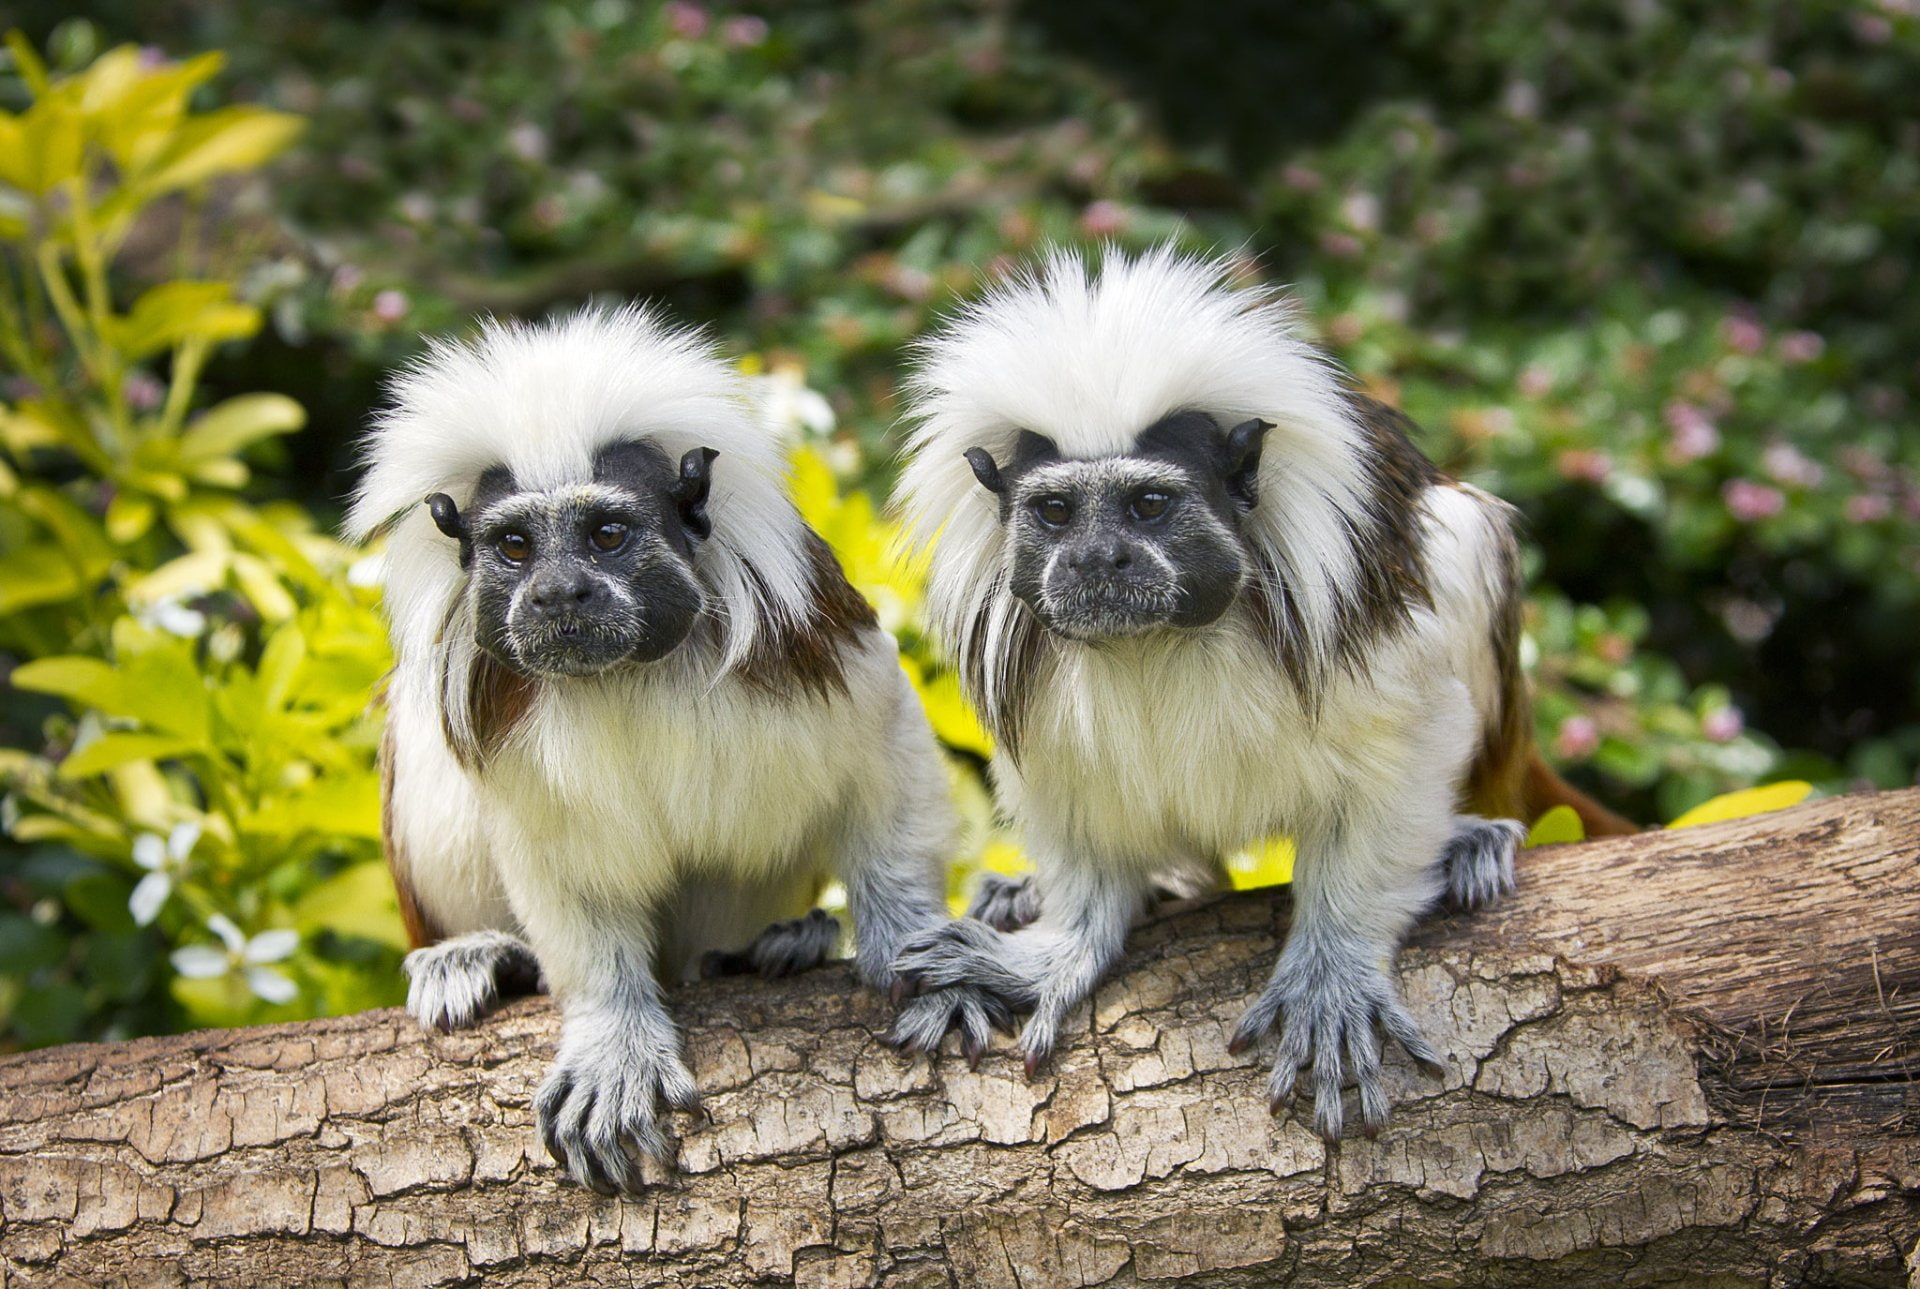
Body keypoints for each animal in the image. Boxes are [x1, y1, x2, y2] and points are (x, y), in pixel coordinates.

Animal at [347, 306, 1001, 1195]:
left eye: (607, 534)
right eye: (515, 546)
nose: (558, 593)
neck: (626, 675)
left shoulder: (815, 645)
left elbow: (886, 759)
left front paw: (917, 953)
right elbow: (569, 887)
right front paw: (610, 1040)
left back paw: (772, 944)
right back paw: (479, 953)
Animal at [885, 246, 1634, 1140]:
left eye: (1149, 504)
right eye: (1057, 512)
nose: (1099, 559)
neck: (1158, 642)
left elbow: (1411, 752)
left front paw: (1333, 972)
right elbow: (1083, 833)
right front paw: (1054, 947)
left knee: (1463, 536)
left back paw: (1469, 836)